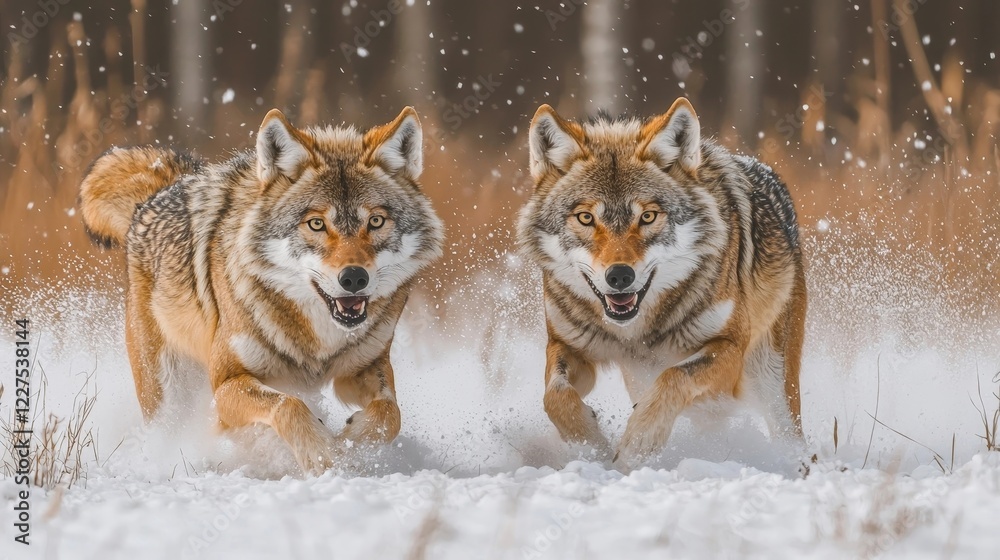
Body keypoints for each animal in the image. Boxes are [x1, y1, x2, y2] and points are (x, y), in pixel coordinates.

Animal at [79, 107, 444, 474]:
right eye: (316, 224)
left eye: (376, 221)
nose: (354, 278)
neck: (317, 339)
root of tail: (166, 187)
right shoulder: (226, 383)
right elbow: (289, 406)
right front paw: (322, 455)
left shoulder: (365, 367)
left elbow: (389, 413)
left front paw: (352, 447)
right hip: (169, 394)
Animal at [517, 98, 807, 469]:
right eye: (585, 218)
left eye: (647, 216)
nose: (620, 275)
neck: (635, 332)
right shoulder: (565, 345)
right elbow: (555, 397)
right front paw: (590, 443)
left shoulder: (729, 348)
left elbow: (673, 377)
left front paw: (638, 443)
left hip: (772, 381)